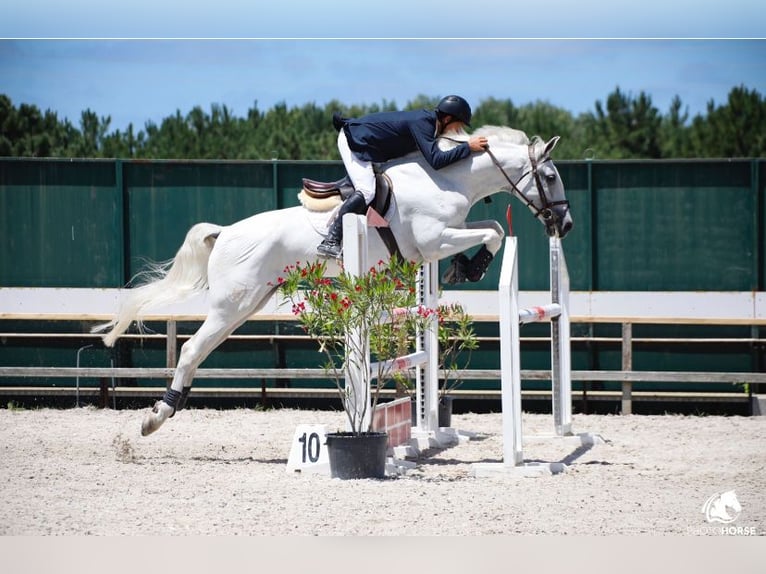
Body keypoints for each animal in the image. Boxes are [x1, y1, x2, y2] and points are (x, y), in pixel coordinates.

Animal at [93, 124, 572, 434]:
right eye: (549, 176)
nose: (563, 225)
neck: (444, 180)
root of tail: (225, 232)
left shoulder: (440, 241)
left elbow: (492, 225)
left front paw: (469, 266)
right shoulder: (433, 243)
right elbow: (492, 231)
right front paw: (471, 266)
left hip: (247, 305)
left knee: (201, 350)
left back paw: (164, 411)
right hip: (233, 304)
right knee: (193, 348)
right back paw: (155, 417)